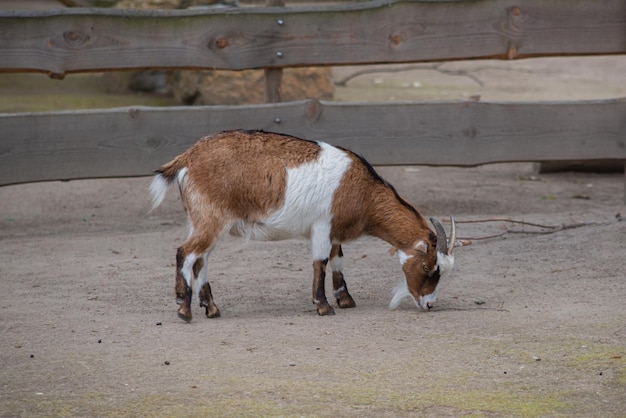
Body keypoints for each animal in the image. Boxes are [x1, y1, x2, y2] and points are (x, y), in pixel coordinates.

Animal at [148, 129, 456, 322]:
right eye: (428, 267)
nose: (429, 304)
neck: (362, 191)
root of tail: (187, 157)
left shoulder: (334, 231)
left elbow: (338, 259)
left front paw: (345, 299)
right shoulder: (322, 225)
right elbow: (320, 262)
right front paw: (323, 306)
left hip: (204, 220)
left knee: (201, 259)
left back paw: (210, 308)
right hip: (209, 218)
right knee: (186, 253)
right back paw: (184, 309)